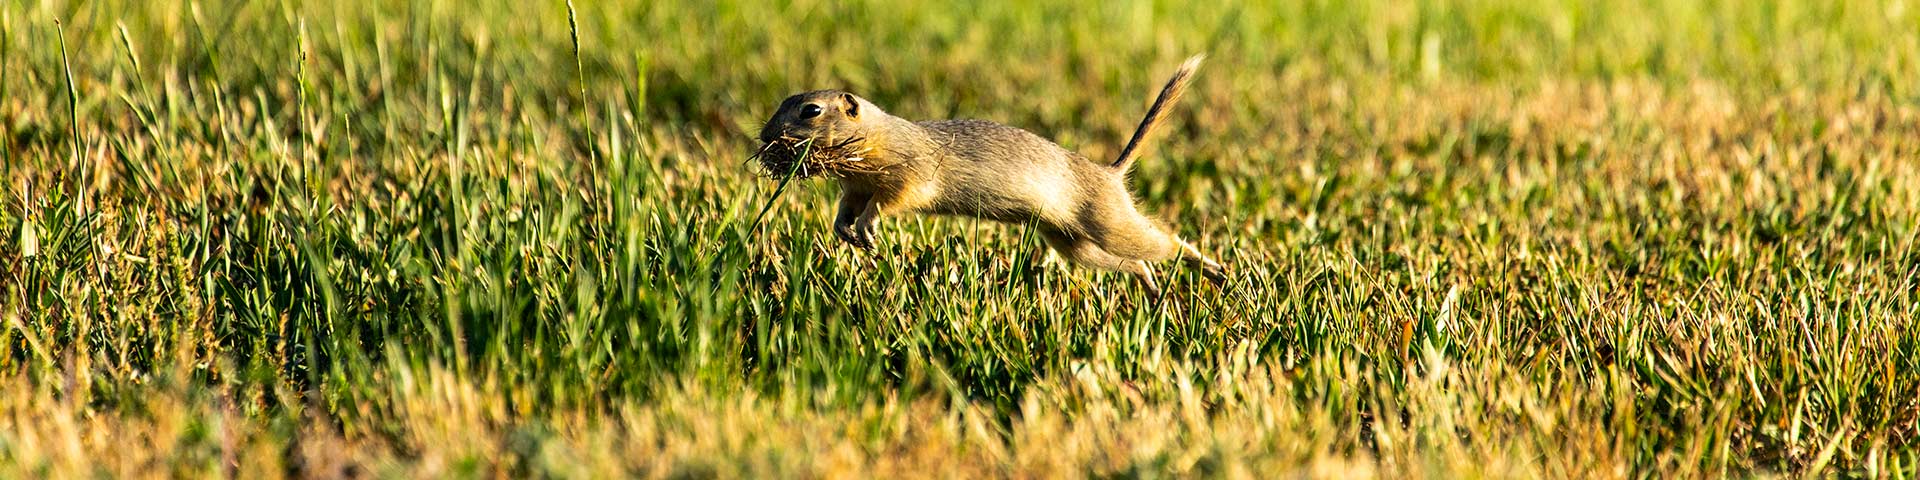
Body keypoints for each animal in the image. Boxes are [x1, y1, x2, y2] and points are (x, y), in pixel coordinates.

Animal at [752, 54, 1228, 293]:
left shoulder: (909, 174)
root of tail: (1110, 173)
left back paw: (1215, 270)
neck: (876, 136)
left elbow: (895, 199)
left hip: (1109, 224)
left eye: (811, 111)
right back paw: (1151, 286)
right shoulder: (855, 185)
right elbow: (847, 208)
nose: (765, 136)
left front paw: (867, 228)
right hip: (1073, 244)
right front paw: (845, 231)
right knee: (1135, 263)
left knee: (1165, 242)